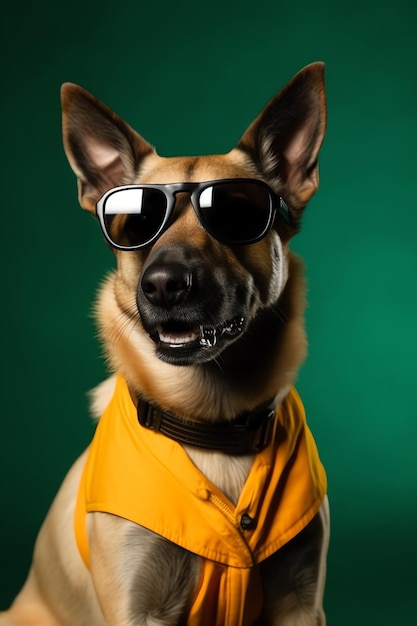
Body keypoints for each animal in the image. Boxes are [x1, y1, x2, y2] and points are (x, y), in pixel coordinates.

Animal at [1, 59, 330, 624]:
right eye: (136, 224)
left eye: (236, 215)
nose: (164, 284)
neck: (213, 427)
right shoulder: (137, 606)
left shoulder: (300, 603)